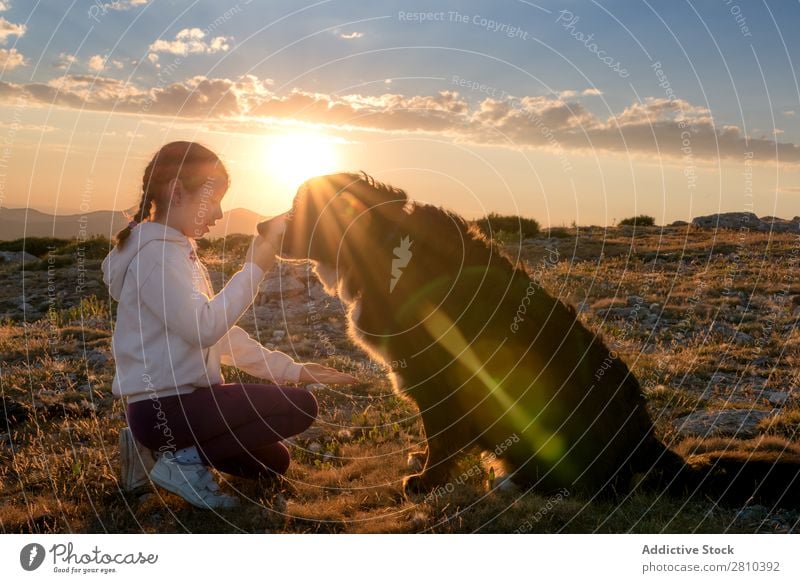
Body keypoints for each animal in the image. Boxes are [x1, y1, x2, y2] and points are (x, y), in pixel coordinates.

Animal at [268, 171, 800, 504]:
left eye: (296, 208)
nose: (261, 226)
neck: (384, 250)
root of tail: (647, 444)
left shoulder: (439, 377)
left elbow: (441, 436)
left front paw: (425, 479)